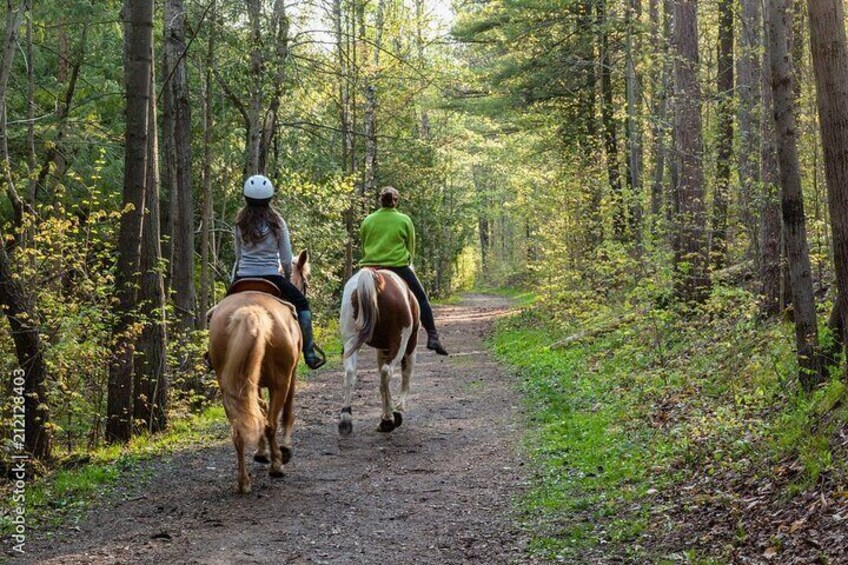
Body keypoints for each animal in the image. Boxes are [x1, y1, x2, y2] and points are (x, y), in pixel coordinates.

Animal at [208, 249, 314, 492]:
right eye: (305, 279)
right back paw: (276, 466)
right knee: (271, 423)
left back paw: (244, 481)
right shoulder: (291, 375)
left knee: (239, 428)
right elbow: (287, 412)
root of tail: (251, 311)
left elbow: (259, 408)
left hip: (229, 385)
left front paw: (260, 452)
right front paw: (283, 450)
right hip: (280, 381)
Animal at [336, 266, 420, 434]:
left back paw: (346, 420)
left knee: (351, 373)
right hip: (400, 342)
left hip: (350, 340)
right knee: (388, 372)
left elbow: (381, 384)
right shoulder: (410, 344)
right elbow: (405, 377)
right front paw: (397, 411)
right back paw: (390, 416)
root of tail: (374, 276)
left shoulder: (382, 349)